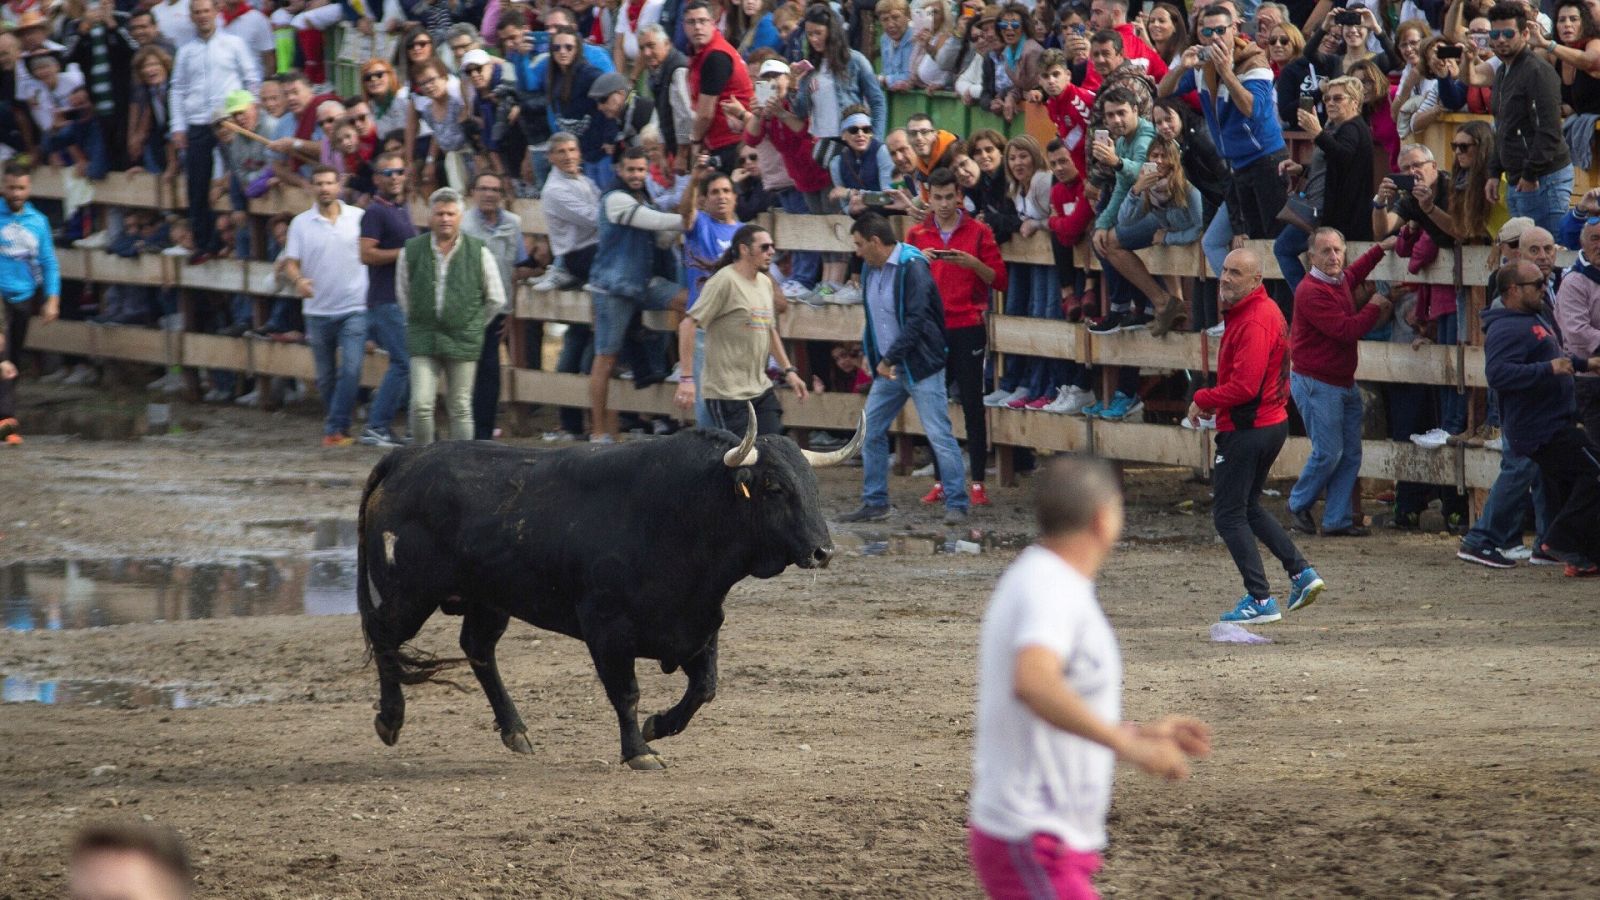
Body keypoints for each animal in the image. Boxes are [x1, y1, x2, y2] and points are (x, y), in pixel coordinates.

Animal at [353, 409, 864, 768]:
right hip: (408, 593)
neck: (680, 513)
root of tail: (406, 458)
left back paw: (515, 731)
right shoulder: (606, 629)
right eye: (774, 487)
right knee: (383, 635)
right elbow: (627, 692)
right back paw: (390, 719)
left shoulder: (700, 624)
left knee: (477, 649)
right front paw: (640, 750)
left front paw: (659, 726)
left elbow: (705, 688)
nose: (823, 550)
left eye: (812, 485)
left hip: (488, 599)